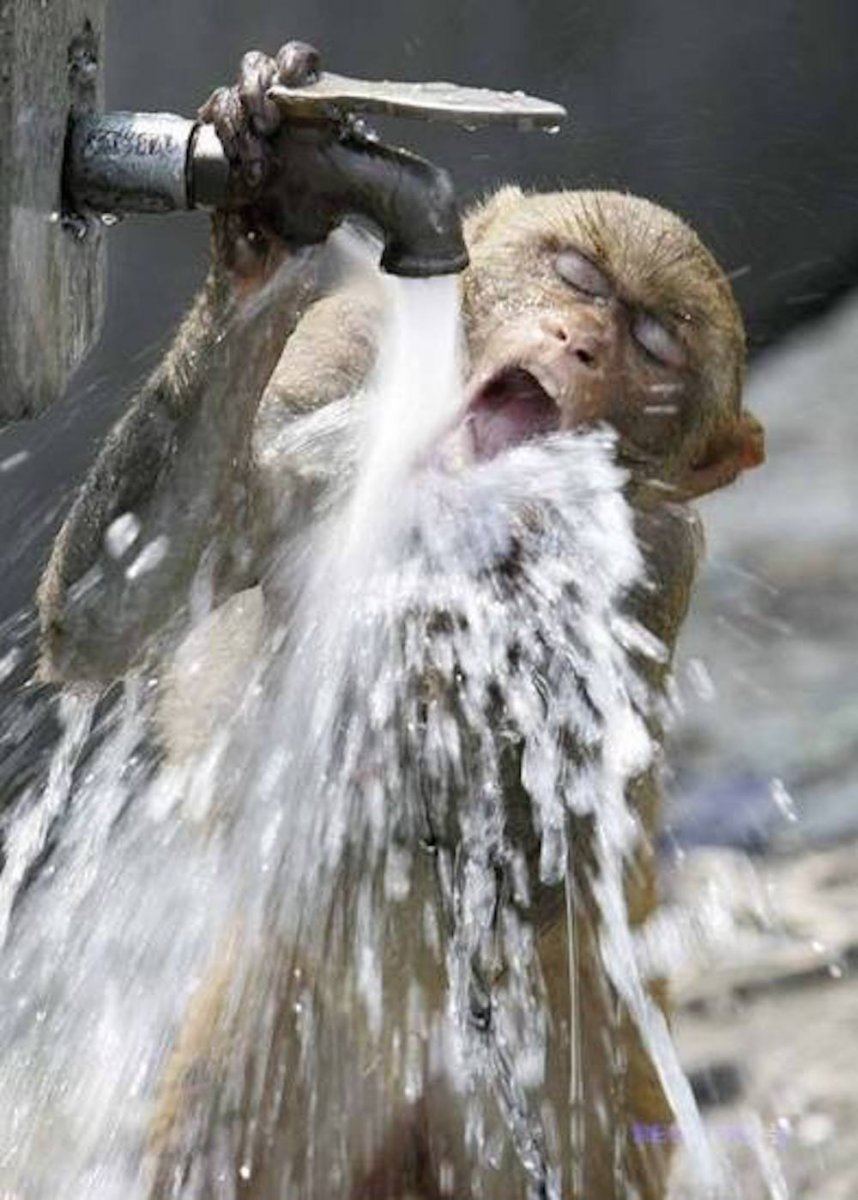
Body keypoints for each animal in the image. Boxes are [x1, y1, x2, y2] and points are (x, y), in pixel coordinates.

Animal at [34, 41, 764, 1200]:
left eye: (653, 344)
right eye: (576, 278)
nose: (578, 346)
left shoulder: (660, 557)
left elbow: (549, 837)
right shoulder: (334, 369)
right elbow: (111, 611)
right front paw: (258, 188)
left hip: (581, 1067)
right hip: (281, 1051)